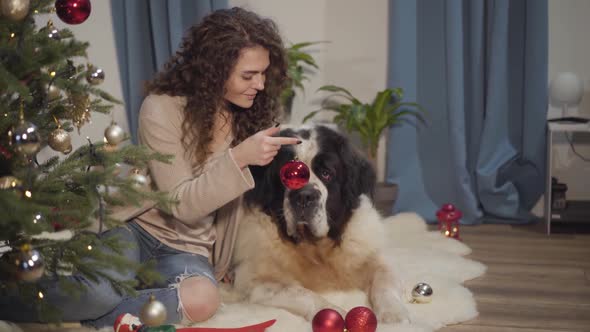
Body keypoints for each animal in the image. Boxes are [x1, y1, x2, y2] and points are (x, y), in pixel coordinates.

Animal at [231, 124, 412, 322]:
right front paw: (337, 316)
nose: (303, 196)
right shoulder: (256, 280)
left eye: (326, 173)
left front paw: (394, 316)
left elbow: (384, 280)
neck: (315, 249)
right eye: (286, 175)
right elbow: (303, 293)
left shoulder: (372, 257)